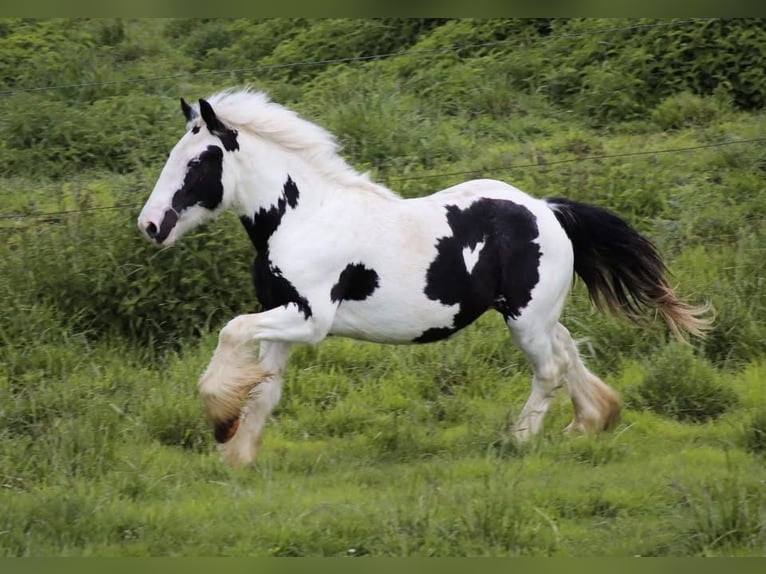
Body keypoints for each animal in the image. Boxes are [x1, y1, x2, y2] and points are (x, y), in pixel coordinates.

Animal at [138, 88, 712, 466]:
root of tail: (547, 210)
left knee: (548, 370)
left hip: (526, 321)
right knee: (568, 349)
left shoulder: (309, 320)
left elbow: (229, 332)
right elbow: (264, 390)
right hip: (532, 314)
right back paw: (589, 421)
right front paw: (239, 456)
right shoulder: (281, 320)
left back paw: (517, 441)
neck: (303, 216)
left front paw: (220, 422)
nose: (150, 225)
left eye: (198, 162)